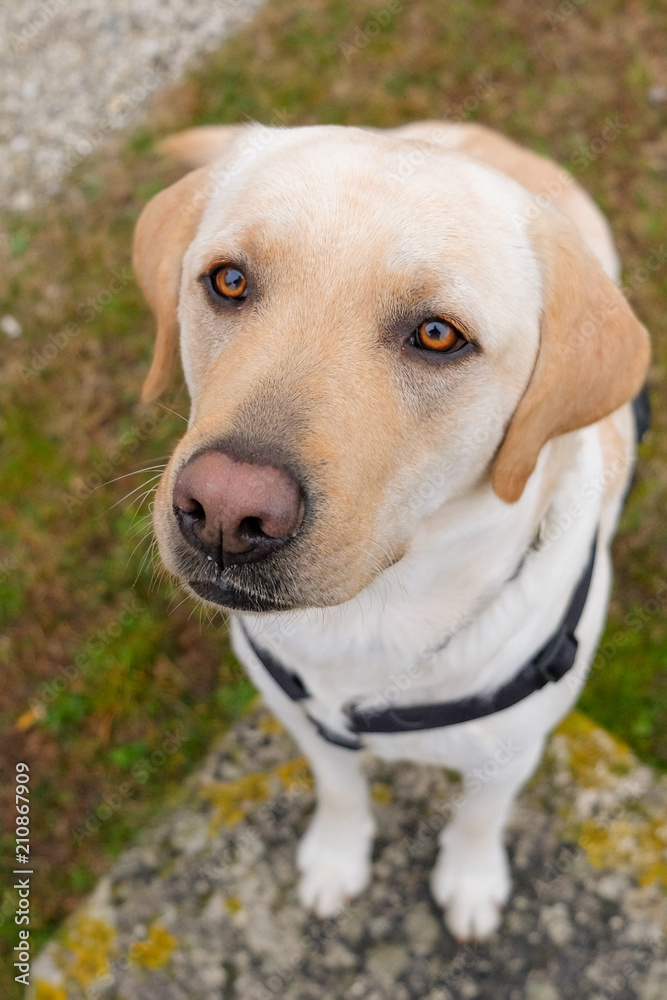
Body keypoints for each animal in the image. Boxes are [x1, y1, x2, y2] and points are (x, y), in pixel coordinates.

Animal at [133, 121, 648, 940]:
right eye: (229, 281)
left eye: (437, 335)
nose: (226, 513)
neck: (371, 624)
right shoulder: (303, 721)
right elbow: (342, 790)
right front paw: (336, 858)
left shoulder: (510, 755)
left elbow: (478, 818)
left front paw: (470, 881)